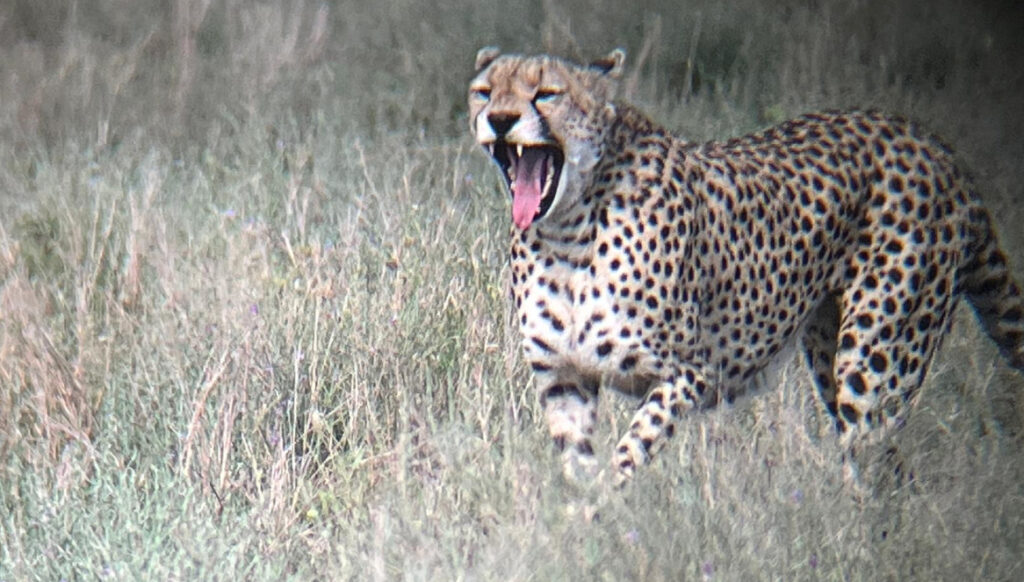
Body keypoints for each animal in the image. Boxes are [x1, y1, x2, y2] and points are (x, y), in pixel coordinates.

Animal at [467, 47, 1024, 487]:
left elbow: (631, 449)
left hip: (876, 357)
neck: (567, 231)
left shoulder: (689, 372)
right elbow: (577, 465)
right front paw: (579, 525)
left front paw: (606, 509)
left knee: (871, 458)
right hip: (830, 346)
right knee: (887, 467)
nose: (500, 120)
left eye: (546, 93)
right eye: (484, 91)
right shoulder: (563, 376)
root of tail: (932, 142)